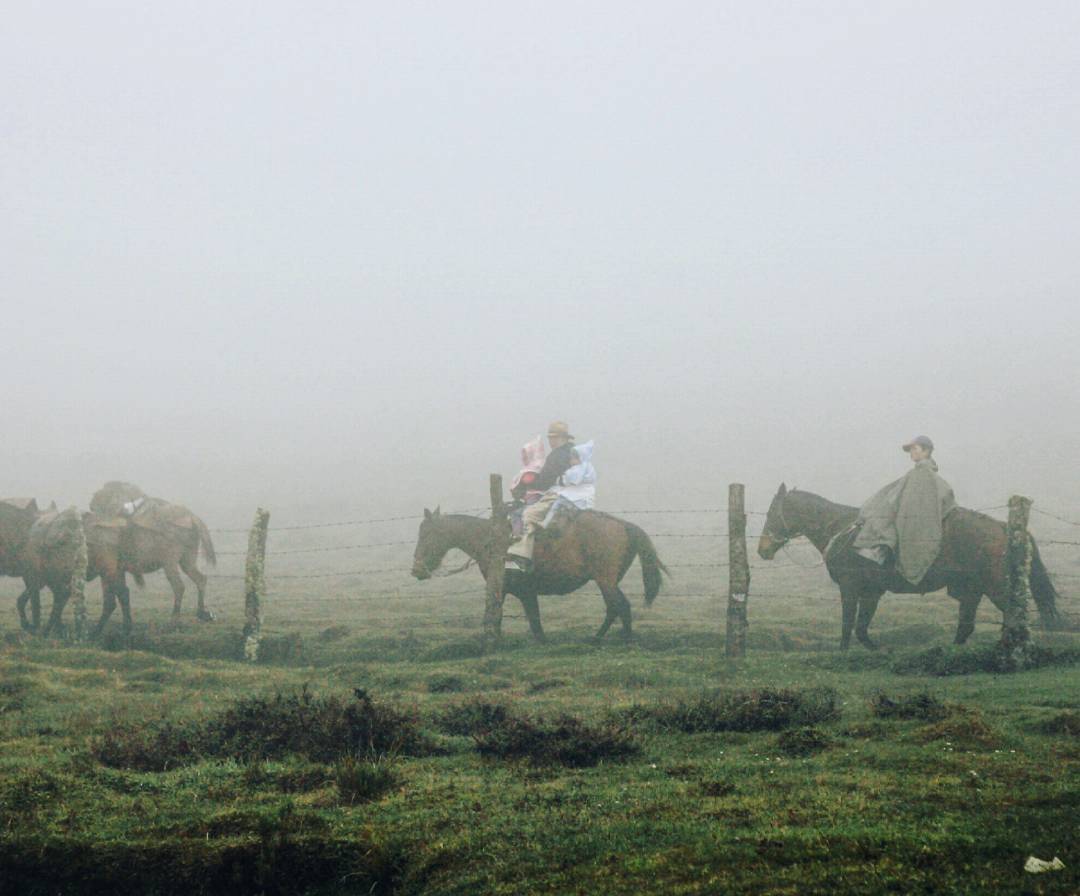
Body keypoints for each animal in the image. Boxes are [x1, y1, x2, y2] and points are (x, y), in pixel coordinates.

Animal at [412, 509, 665, 643]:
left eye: (427, 535)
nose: (416, 570)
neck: (495, 543)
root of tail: (623, 525)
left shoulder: (522, 592)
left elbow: (528, 620)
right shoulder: (515, 592)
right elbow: (512, 618)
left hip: (605, 581)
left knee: (619, 606)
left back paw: (619, 639)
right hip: (608, 582)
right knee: (616, 608)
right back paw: (601, 638)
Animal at [760, 483, 1062, 652]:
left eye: (772, 513)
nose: (762, 549)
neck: (842, 531)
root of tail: (1003, 526)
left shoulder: (851, 588)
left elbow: (848, 624)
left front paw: (845, 652)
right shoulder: (871, 592)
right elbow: (861, 627)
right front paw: (875, 649)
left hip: (994, 585)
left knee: (1012, 613)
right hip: (973, 588)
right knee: (967, 625)